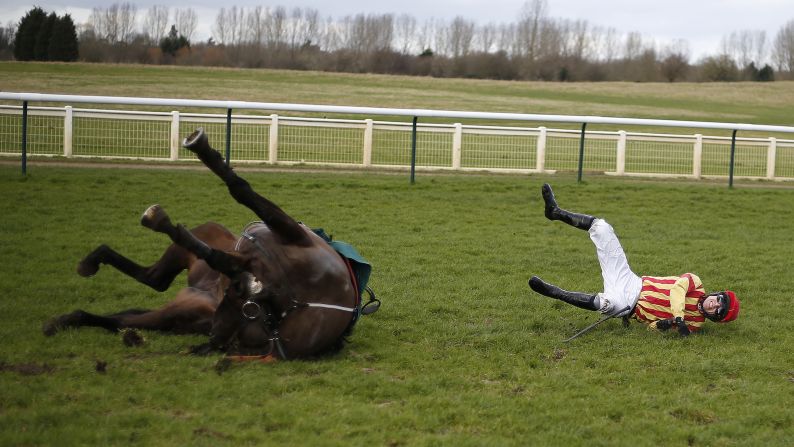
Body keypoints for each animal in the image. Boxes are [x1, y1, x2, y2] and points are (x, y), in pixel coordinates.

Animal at [41, 127, 376, 360]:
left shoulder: (287, 234)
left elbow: (240, 191)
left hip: (192, 292)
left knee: (156, 280)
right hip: (185, 310)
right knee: (142, 300)